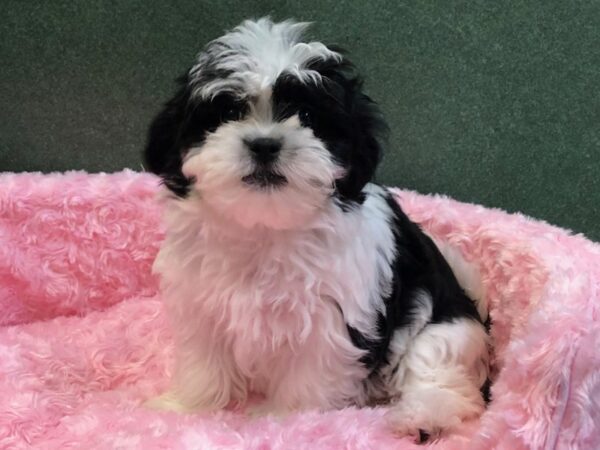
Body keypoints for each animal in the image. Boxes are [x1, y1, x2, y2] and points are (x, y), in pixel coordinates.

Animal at [144, 17, 488, 440]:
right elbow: (205, 362)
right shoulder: (201, 303)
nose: (264, 144)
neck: (266, 225)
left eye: (308, 117)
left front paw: (287, 420)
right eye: (228, 111)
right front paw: (187, 409)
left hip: (445, 327)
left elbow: (308, 375)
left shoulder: (331, 319)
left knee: (438, 370)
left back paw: (424, 415)